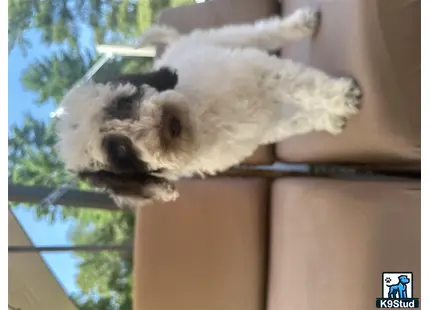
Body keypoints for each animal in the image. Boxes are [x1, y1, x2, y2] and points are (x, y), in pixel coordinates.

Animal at [55, 8, 362, 208]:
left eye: (123, 104)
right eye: (121, 154)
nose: (163, 125)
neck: (198, 119)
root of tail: (174, 47)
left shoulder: (261, 73)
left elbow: (307, 85)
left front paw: (340, 97)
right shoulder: (267, 121)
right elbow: (299, 117)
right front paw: (332, 117)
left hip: (226, 41)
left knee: (262, 32)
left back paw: (303, 22)